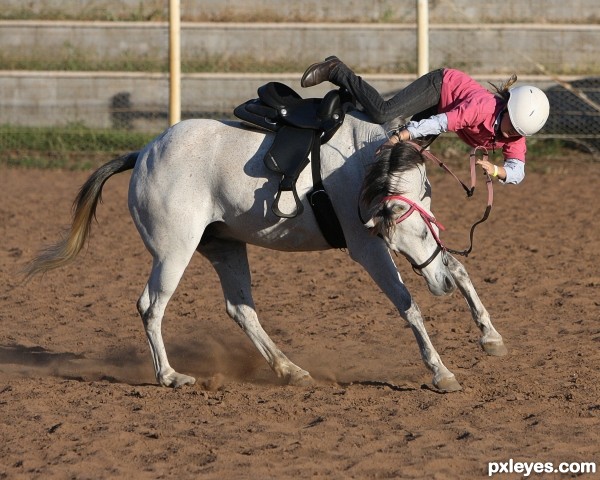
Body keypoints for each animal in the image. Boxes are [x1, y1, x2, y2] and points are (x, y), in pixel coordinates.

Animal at [25, 111, 508, 390]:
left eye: (429, 226)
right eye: (411, 234)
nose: (440, 287)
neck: (361, 164)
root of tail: (144, 152)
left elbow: (457, 267)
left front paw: (490, 336)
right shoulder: (368, 250)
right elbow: (408, 306)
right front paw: (441, 372)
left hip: (225, 248)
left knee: (241, 310)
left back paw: (289, 370)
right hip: (172, 254)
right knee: (151, 306)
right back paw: (170, 376)